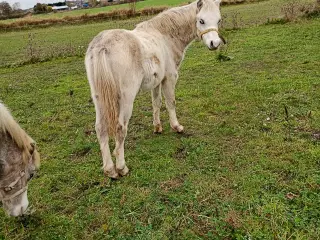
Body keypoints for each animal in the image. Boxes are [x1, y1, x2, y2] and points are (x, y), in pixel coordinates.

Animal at [85, 0, 225, 178]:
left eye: (218, 20)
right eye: (201, 20)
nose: (215, 44)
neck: (165, 36)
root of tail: (102, 46)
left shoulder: (157, 82)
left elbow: (156, 103)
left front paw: (157, 127)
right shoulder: (170, 78)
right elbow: (171, 102)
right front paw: (176, 127)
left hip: (99, 99)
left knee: (100, 128)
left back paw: (110, 170)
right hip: (126, 99)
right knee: (120, 128)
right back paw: (121, 168)